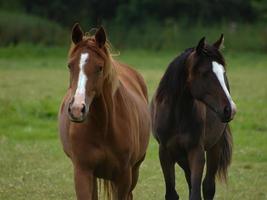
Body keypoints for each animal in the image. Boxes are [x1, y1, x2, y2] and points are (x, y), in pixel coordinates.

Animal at [58, 24, 151, 199]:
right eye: (69, 65)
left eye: (99, 68)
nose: (77, 109)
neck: (103, 127)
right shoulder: (83, 172)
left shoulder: (124, 177)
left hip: (134, 171)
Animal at [152, 35, 238, 199]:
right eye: (205, 73)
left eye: (223, 72)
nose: (230, 109)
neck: (177, 117)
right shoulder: (165, 152)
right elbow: (172, 193)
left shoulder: (196, 152)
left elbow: (196, 192)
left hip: (214, 147)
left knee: (208, 186)